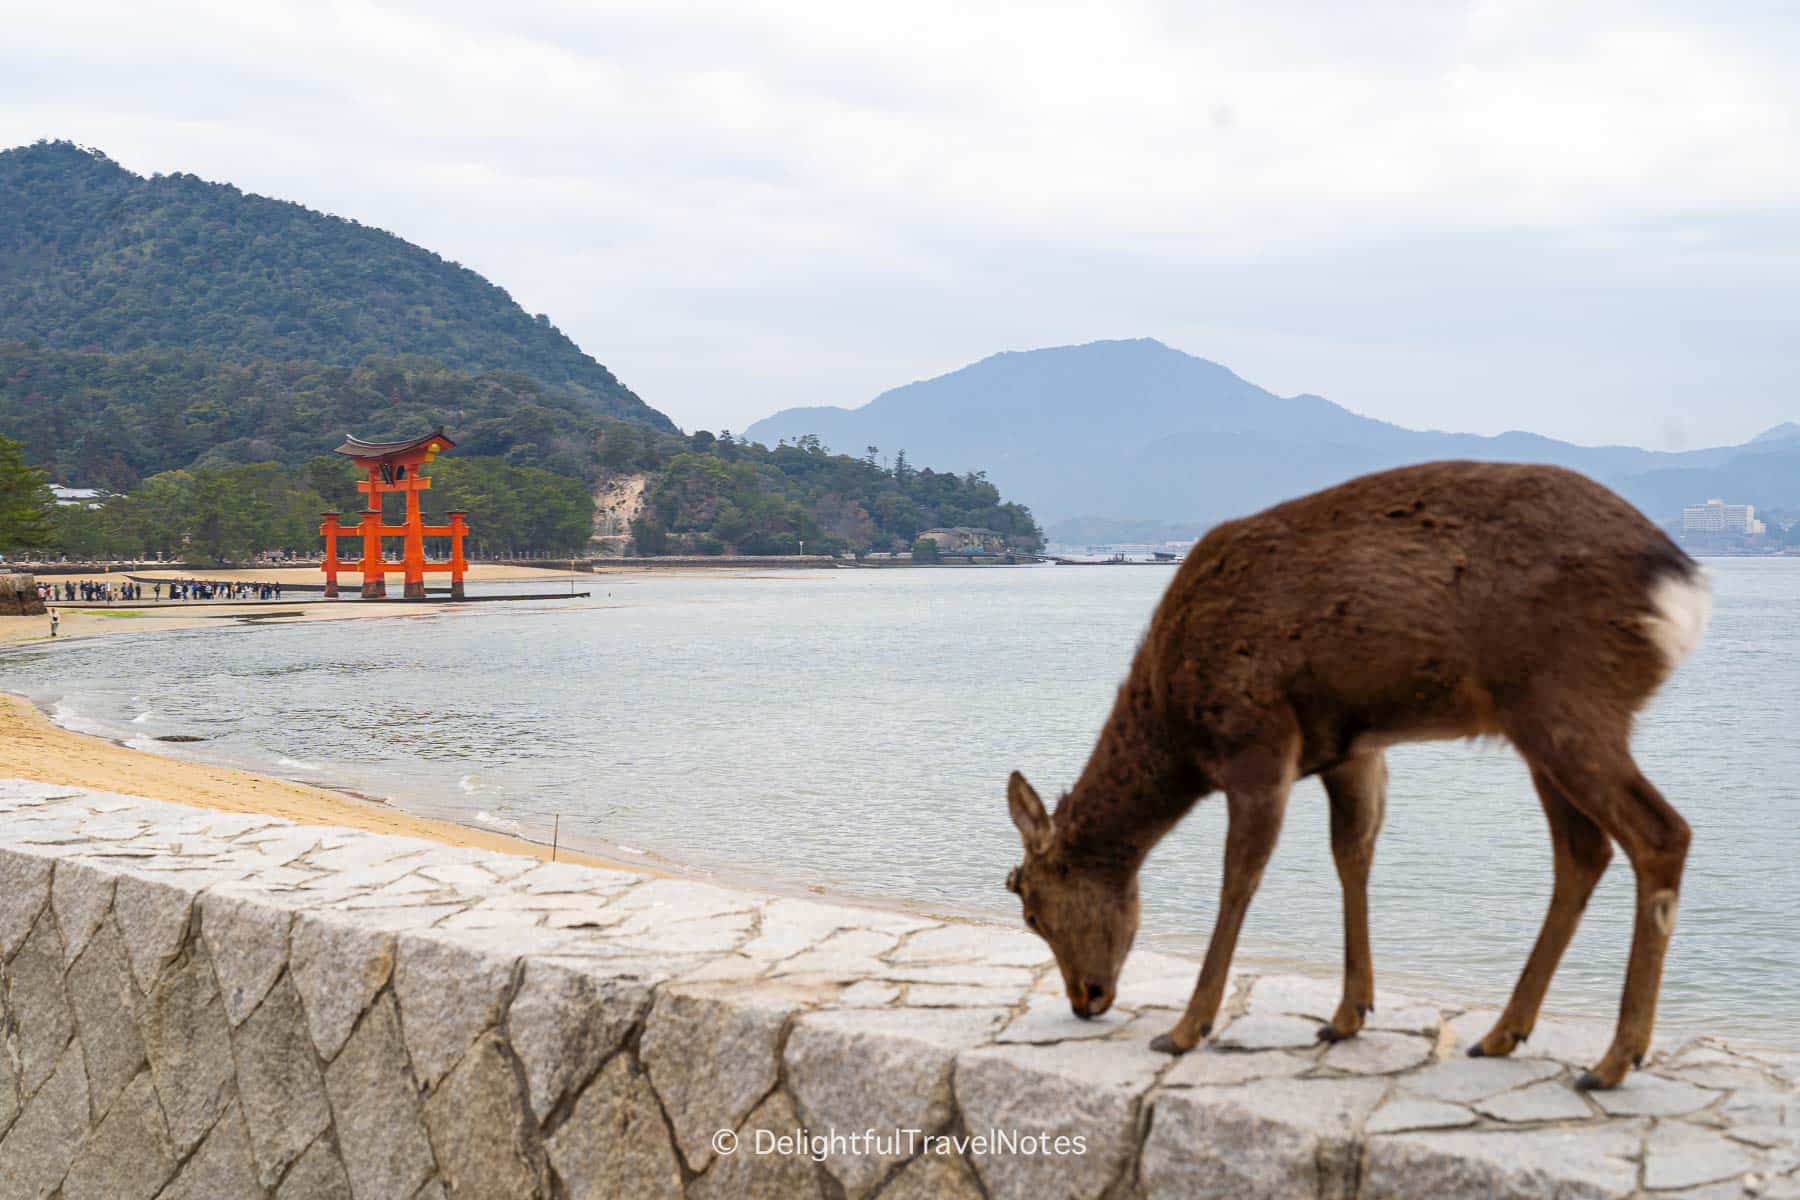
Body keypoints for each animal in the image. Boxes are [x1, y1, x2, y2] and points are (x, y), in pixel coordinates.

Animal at [1004, 460, 1711, 1090]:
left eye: (1032, 909)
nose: (1085, 998)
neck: (1178, 728)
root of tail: (1685, 588)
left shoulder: (1258, 741)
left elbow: (1240, 877)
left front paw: (1185, 1028)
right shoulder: (1349, 751)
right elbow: (1353, 855)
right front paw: (1347, 1014)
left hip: (1566, 702)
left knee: (1660, 831)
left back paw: (1615, 1059)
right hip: (1540, 725)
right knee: (1583, 849)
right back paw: (1505, 1032)